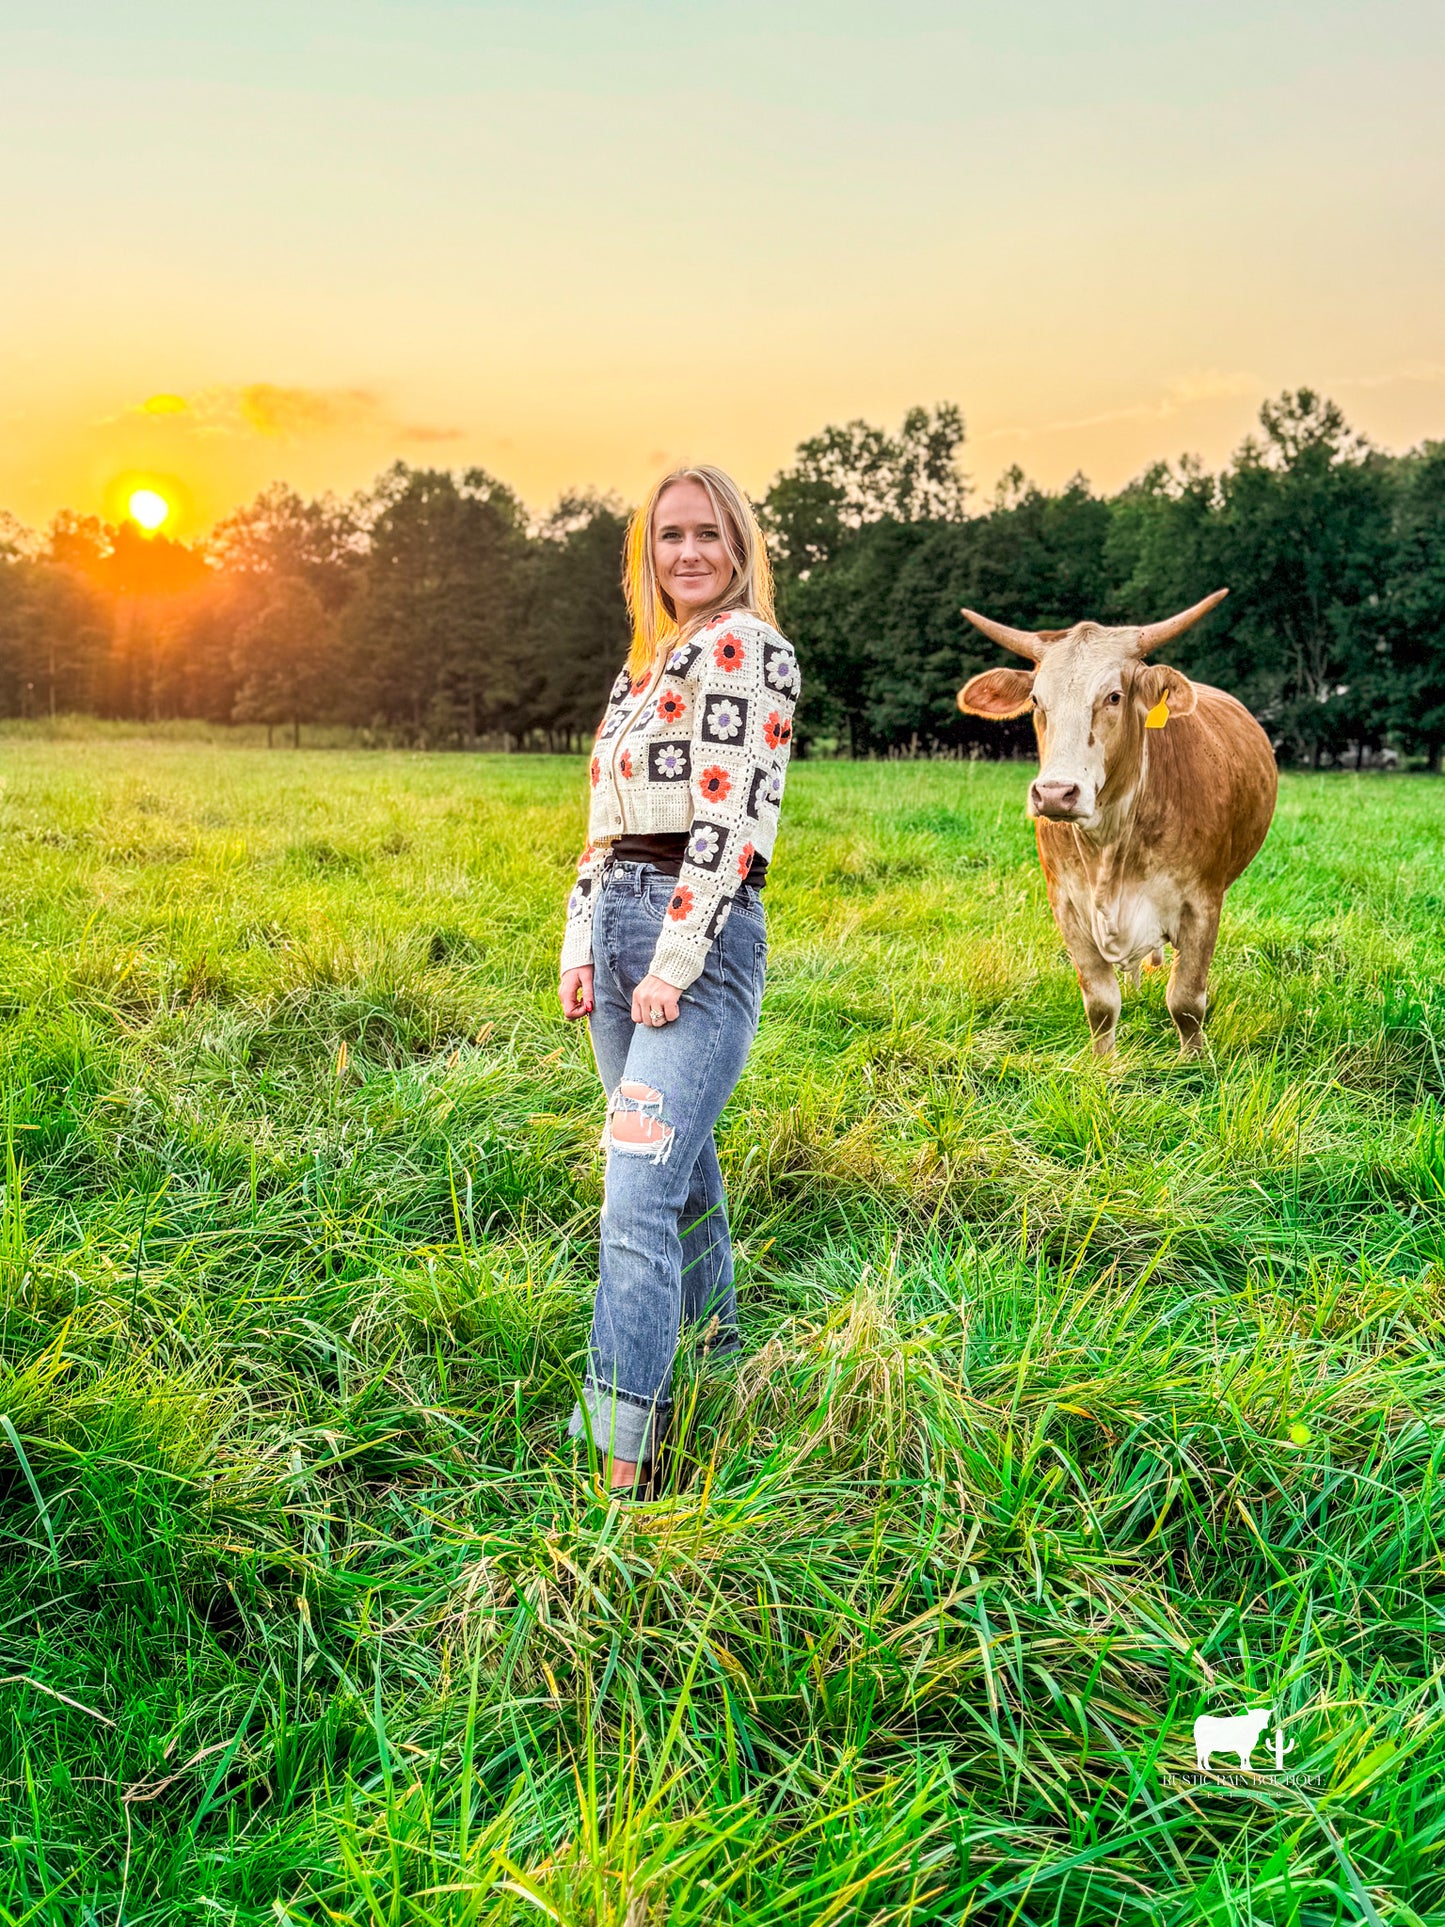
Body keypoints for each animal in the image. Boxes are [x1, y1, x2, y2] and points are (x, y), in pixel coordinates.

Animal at [963, 593, 1279, 1063]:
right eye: (1036, 700)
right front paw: (1103, 1065)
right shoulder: (1067, 906)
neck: (1109, 845)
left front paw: (1193, 1064)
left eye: (1113, 696)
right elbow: (1100, 1002)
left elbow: (1186, 1000)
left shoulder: (1203, 903)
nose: (1055, 794)